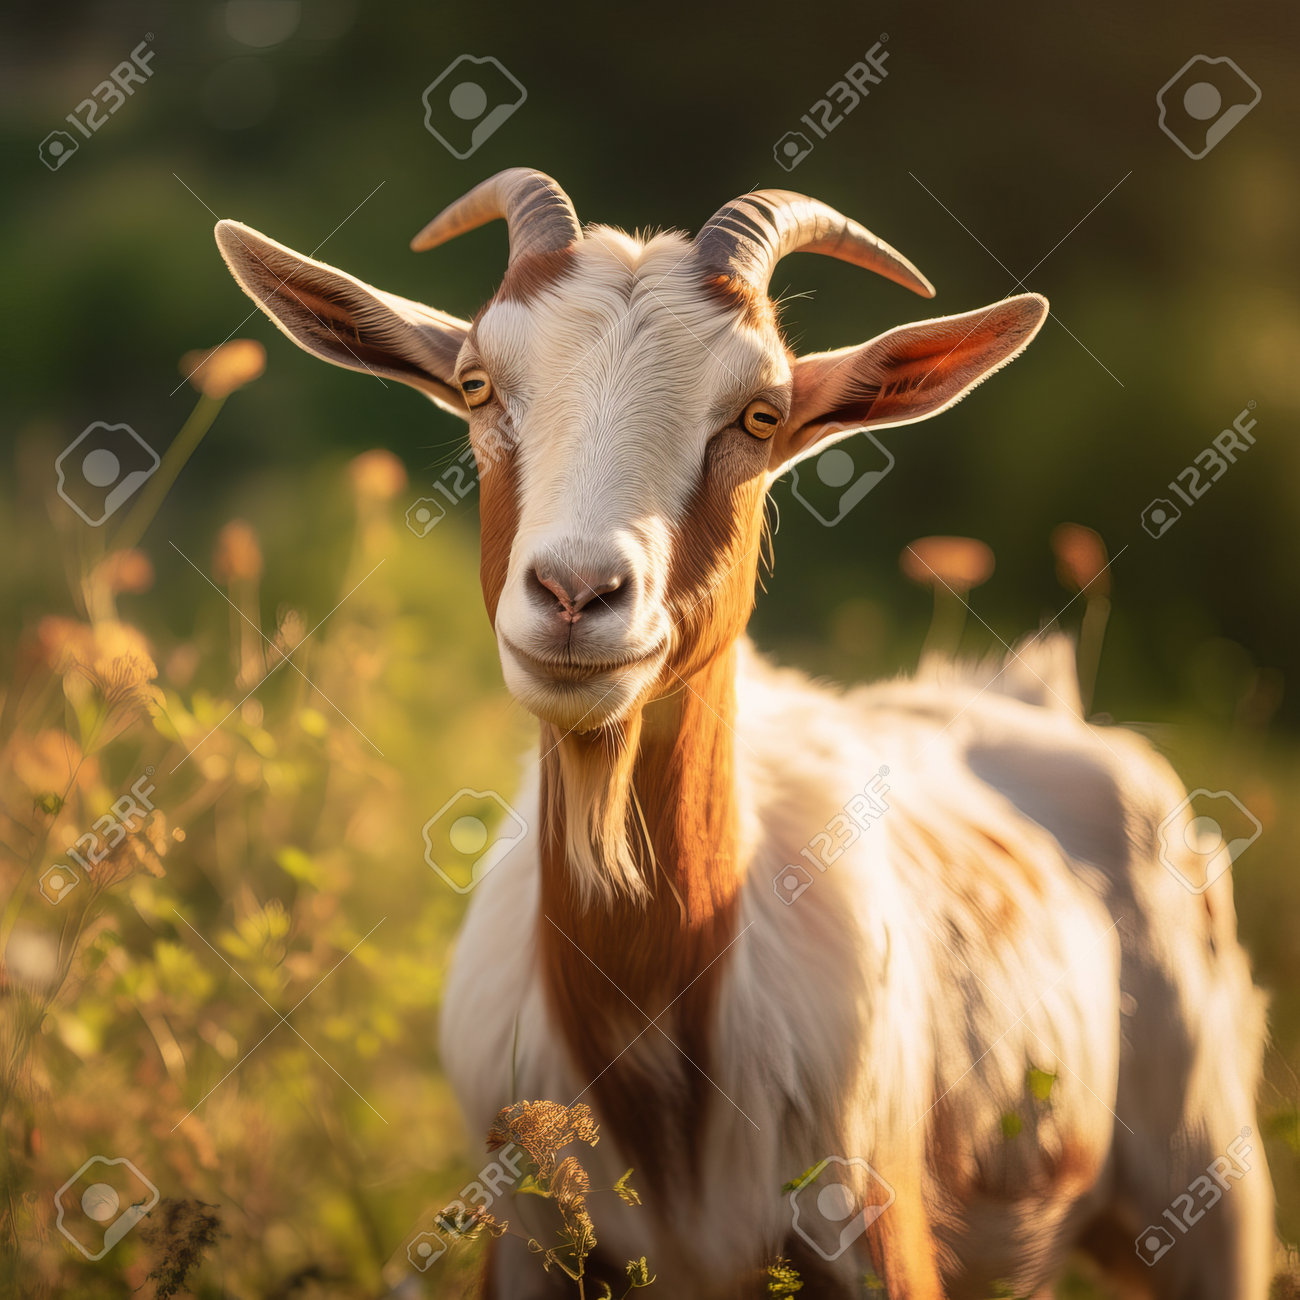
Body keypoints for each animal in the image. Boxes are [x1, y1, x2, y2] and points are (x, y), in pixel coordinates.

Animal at [215, 169, 1274, 1299]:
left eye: (760, 414)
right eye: (476, 385)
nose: (577, 594)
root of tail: (1033, 699)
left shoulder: (878, 1235)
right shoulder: (529, 1244)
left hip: (1211, 1193)